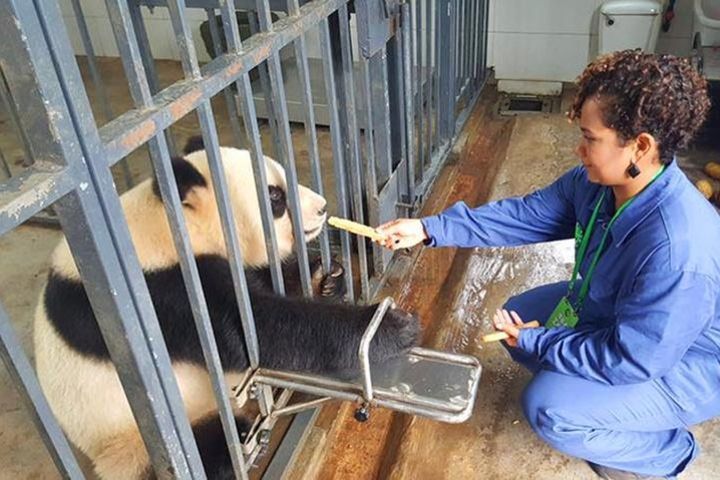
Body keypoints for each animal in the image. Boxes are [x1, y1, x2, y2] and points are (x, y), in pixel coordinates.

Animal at [33, 137, 420, 478]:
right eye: (274, 196)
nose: (323, 207)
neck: (170, 224)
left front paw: (325, 278)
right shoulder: (159, 295)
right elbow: (257, 331)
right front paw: (391, 327)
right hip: (129, 439)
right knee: (209, 445)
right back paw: (244, 438)